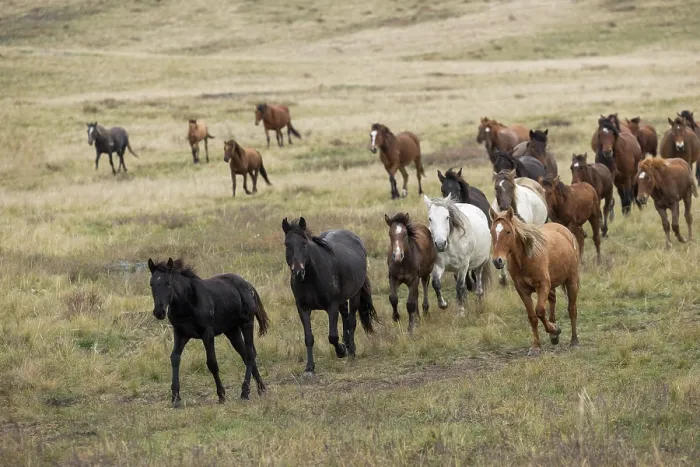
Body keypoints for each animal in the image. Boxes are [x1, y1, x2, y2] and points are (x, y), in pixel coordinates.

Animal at [147, 258, 269, 406]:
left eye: (168, 283)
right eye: (151, 284)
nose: (159, 312)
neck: (187, 303)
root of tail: (248, 285)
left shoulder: (207, 333)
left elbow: (212, 362)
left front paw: (221, 395)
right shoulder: (180, 333)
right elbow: (175, 358)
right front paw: (175, 398)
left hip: (247, 323)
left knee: (250, 353)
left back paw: (245, 392)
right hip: (232, 330)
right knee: (245, 354)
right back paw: (261, 388)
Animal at [282, 217, 378, 374]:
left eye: (304, 243)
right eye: (287, 244)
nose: (298, 272)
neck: (311, 279)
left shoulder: (331, 306)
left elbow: (332, 336)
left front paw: (341, 351)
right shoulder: (303, 308)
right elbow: (309, 337)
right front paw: (309, 367)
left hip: (354, 295)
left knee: (351, 321)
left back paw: (351, 351)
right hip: (342, 300)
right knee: (345, 317)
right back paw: (347, 345)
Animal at [490, 208, 580, 356]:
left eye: (508, 231)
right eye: (491, 232)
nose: (497, 261)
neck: (526, 258)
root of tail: (565, 231)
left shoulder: (542, 286)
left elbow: (540, 311)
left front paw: (555, 330)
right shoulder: (523, 291)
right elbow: (532, 317)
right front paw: (537, 346)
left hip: (571, 281)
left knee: (572, 309)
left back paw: (574, 341)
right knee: (553, 300)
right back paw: (554, 336)